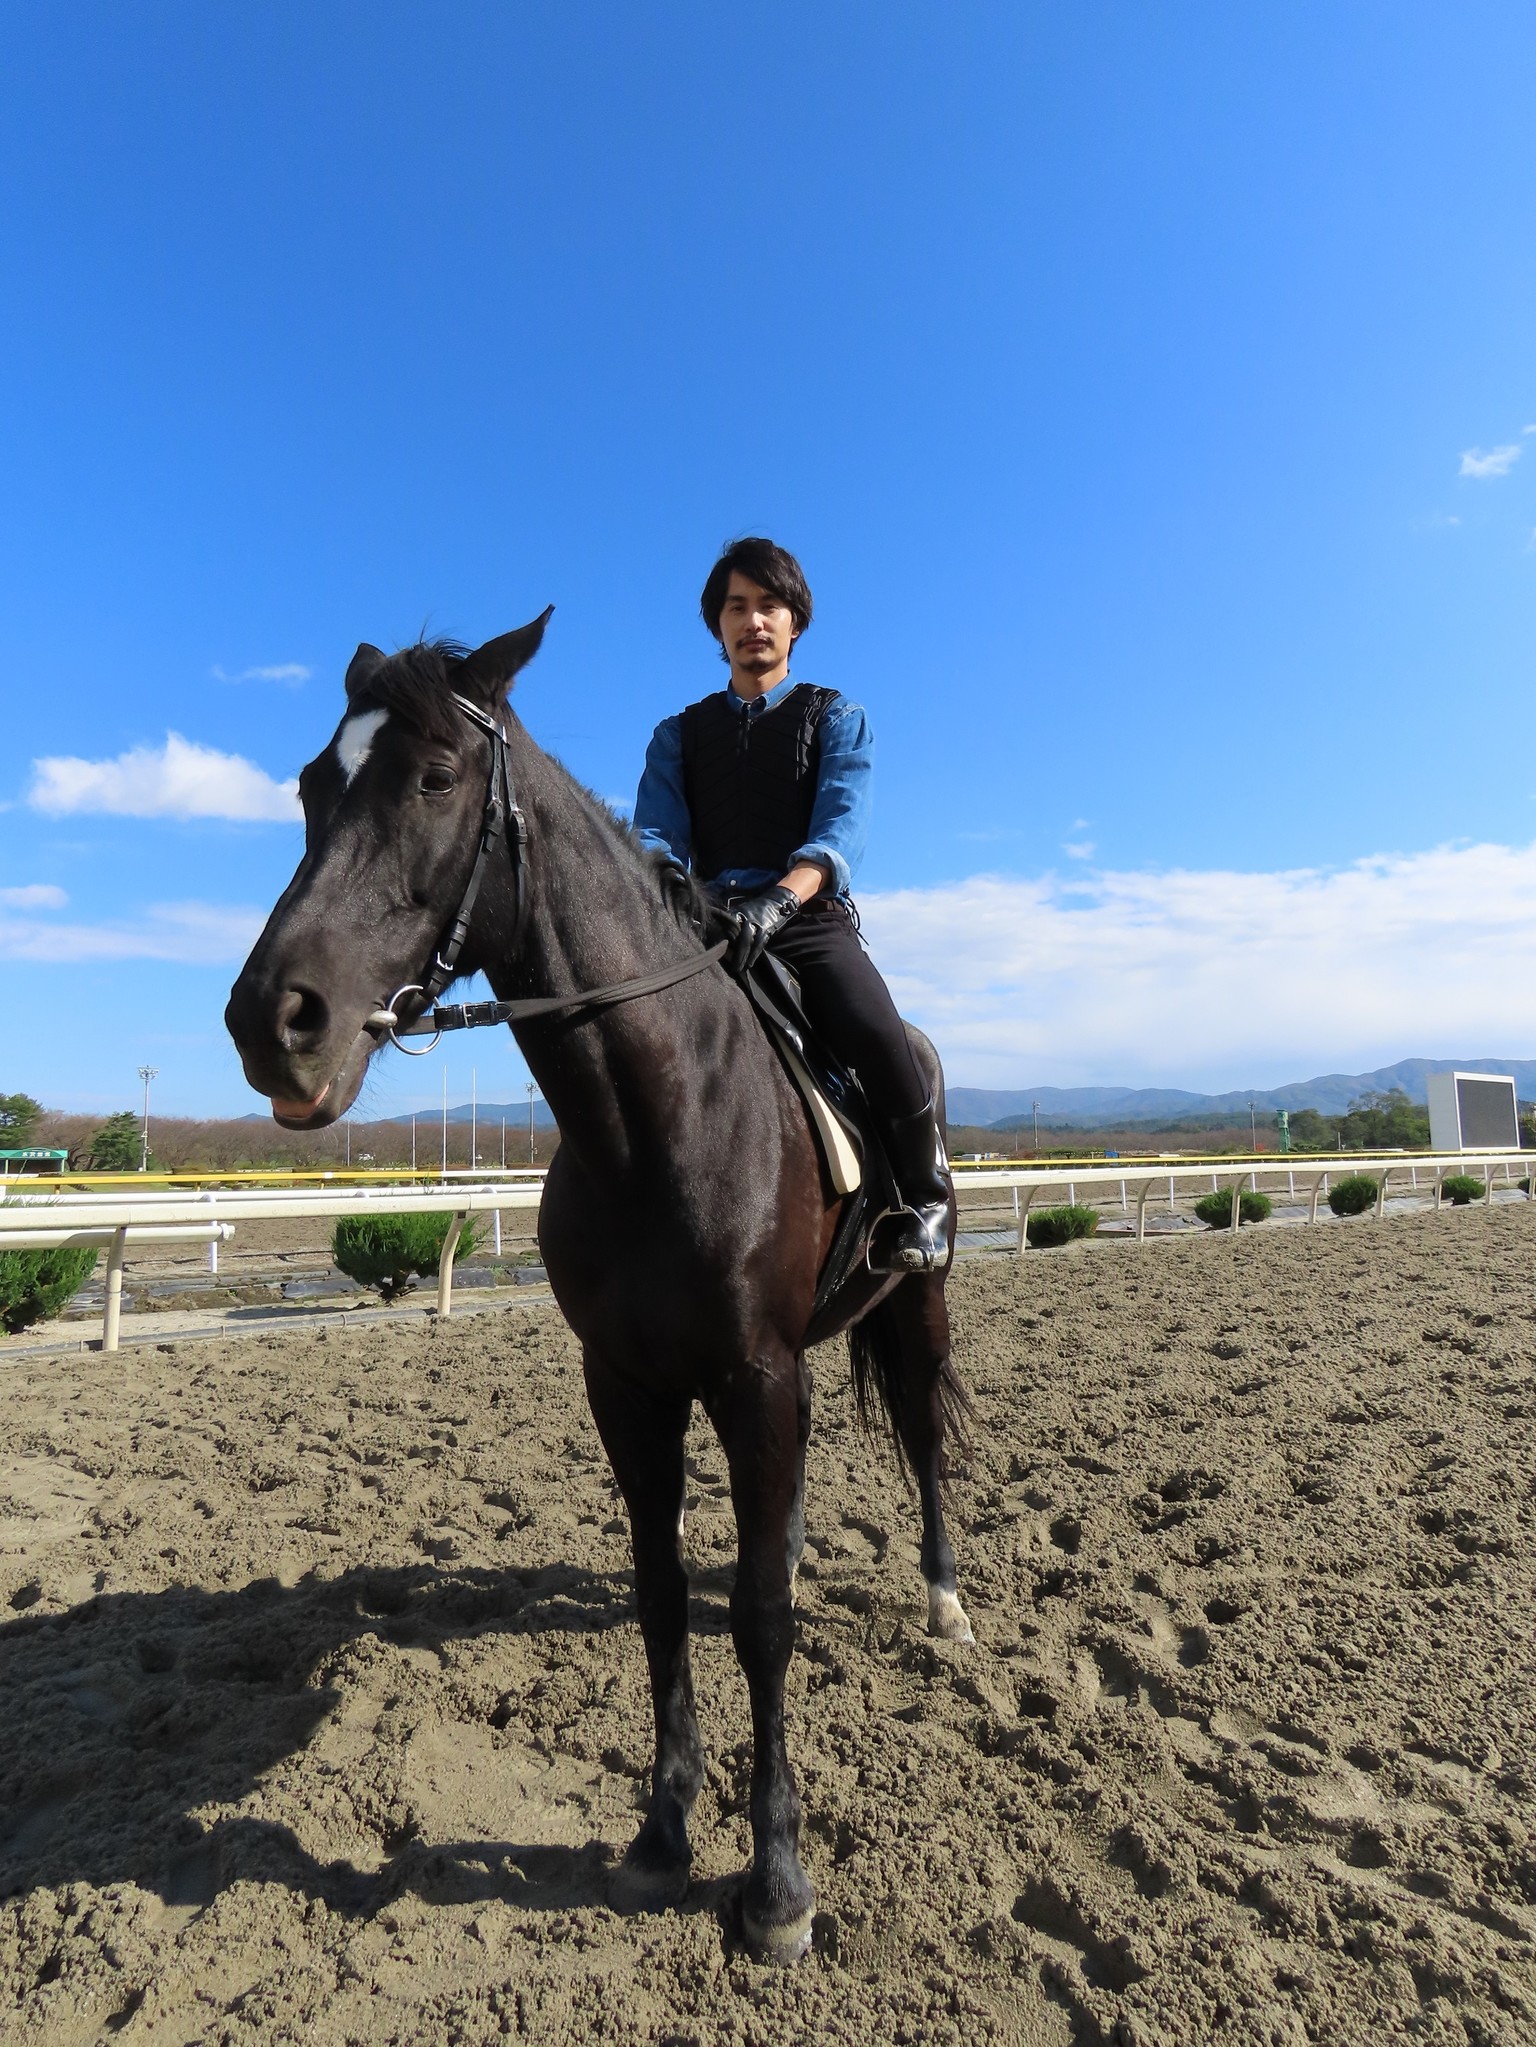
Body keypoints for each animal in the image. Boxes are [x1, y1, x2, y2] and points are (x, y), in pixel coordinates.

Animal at [225, 618, 974, 1965]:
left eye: (434, 779)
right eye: (312, 786)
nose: (273, 1023)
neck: (657, 1113)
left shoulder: (754, 1374)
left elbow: (765, 1623)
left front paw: (776, 1886)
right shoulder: (626, 1385)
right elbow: (663, 1595)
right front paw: (661, 1834)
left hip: (917, 1297)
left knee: (928, 1435)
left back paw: (945, 1601)